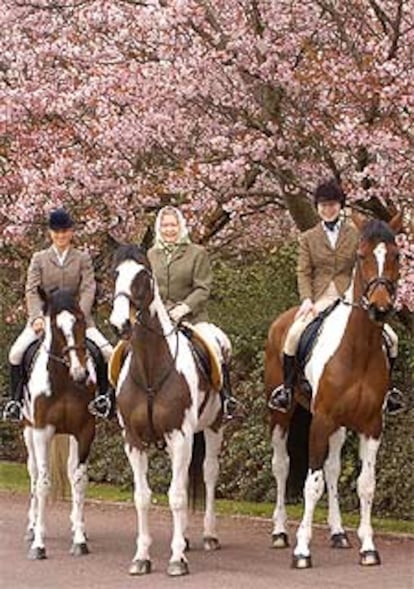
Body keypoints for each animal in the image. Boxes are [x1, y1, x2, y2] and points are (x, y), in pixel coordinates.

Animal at [21, 290, 95, 560]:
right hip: (28, 431)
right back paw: (33, 526)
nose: (81, 374)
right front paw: (38, 545)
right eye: (55, 326)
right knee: (34, 473)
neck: (63, 380)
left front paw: (80, 539)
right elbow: (43, 483)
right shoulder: (42, 431)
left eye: (81, 320)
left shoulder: (85, 431)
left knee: (71, 469)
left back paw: (76, 523)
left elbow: (79, 479)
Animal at [110, 242, 231, 576]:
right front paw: (142, 556)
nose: (120, 324)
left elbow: (176, 496)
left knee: (209, 474)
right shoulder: (134, 440)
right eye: (114, 273)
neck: (151, 366)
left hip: (213, 428)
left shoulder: (180, 435)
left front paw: (177, 559)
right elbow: (142, 497)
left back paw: (209, 535)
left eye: (142, 275)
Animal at [264, 211, 402, 564]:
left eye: (396, 255)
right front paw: (302, 549)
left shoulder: (372, 425)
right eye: (362, 256)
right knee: (282, 467)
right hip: (281, 415)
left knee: (333, 469)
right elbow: (311, 484)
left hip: (340, 425)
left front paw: (368, 547)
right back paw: (280, 532)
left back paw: (339, 533)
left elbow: (365, 484)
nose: (380, 308)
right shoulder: (321, 419)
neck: (358, 348)